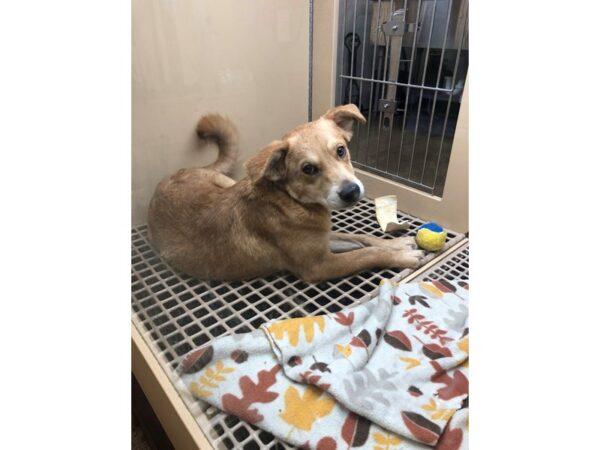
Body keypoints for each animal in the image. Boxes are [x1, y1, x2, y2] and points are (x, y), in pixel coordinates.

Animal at [148, 104, 424, 282]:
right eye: (308, 168)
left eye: (341, 150)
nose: (351, 192)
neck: (290, 202)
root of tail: (167, 179)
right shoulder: (319, 266)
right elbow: (365, 254)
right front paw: (403, 256)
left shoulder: (322, 240)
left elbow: (363, 238)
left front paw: (397, 244)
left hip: (225, 181)